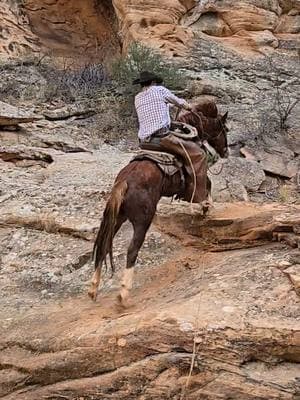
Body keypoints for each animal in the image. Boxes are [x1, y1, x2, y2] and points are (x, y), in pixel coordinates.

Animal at [88, 104, 229, 304]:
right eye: (225, 129)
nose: (225, 151)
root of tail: (124, 181)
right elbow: (206, 184)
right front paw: (205, 207)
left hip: (116, 219)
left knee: (103, 245)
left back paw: (93, 288)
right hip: (143, 221)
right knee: (132, 250)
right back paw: (124, 292)